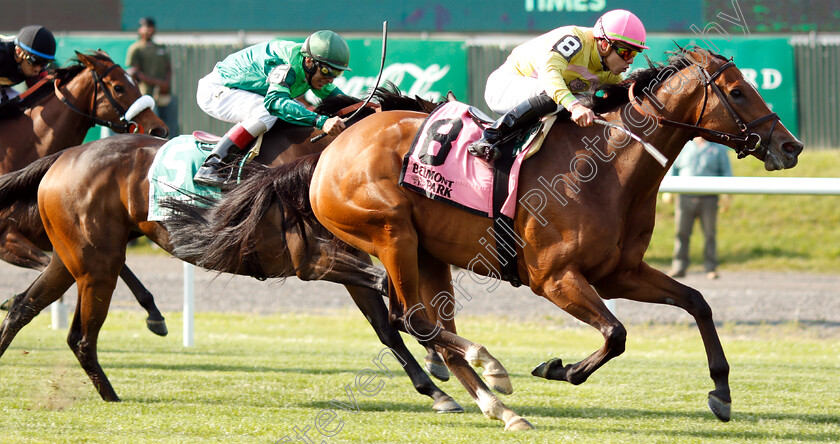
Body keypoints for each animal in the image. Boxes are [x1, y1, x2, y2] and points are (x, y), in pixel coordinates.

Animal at [0, 89, 462, 412]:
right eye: (441, 143)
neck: (331, 162)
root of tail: (65, 155)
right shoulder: (315, 261)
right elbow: (391, 292)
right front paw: (440, 356)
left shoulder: (351, 261)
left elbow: (385, 325)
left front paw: (436, 382)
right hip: (98, 264)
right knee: (80, 334)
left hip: (74, 257)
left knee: (26, 307)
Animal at [306, 46, 800, 428]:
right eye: (737, 91)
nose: (790, 146)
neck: (605, 169)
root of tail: (338, 140)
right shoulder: (554, 278)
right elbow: (616, 333)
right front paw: (558, 368)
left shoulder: (619, 273)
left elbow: (696, 302)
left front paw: (722, 392)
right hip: (392, 234)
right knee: (411, 319)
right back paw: (493, 367)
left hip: (427, 253)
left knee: (433, 329)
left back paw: (500, 409)